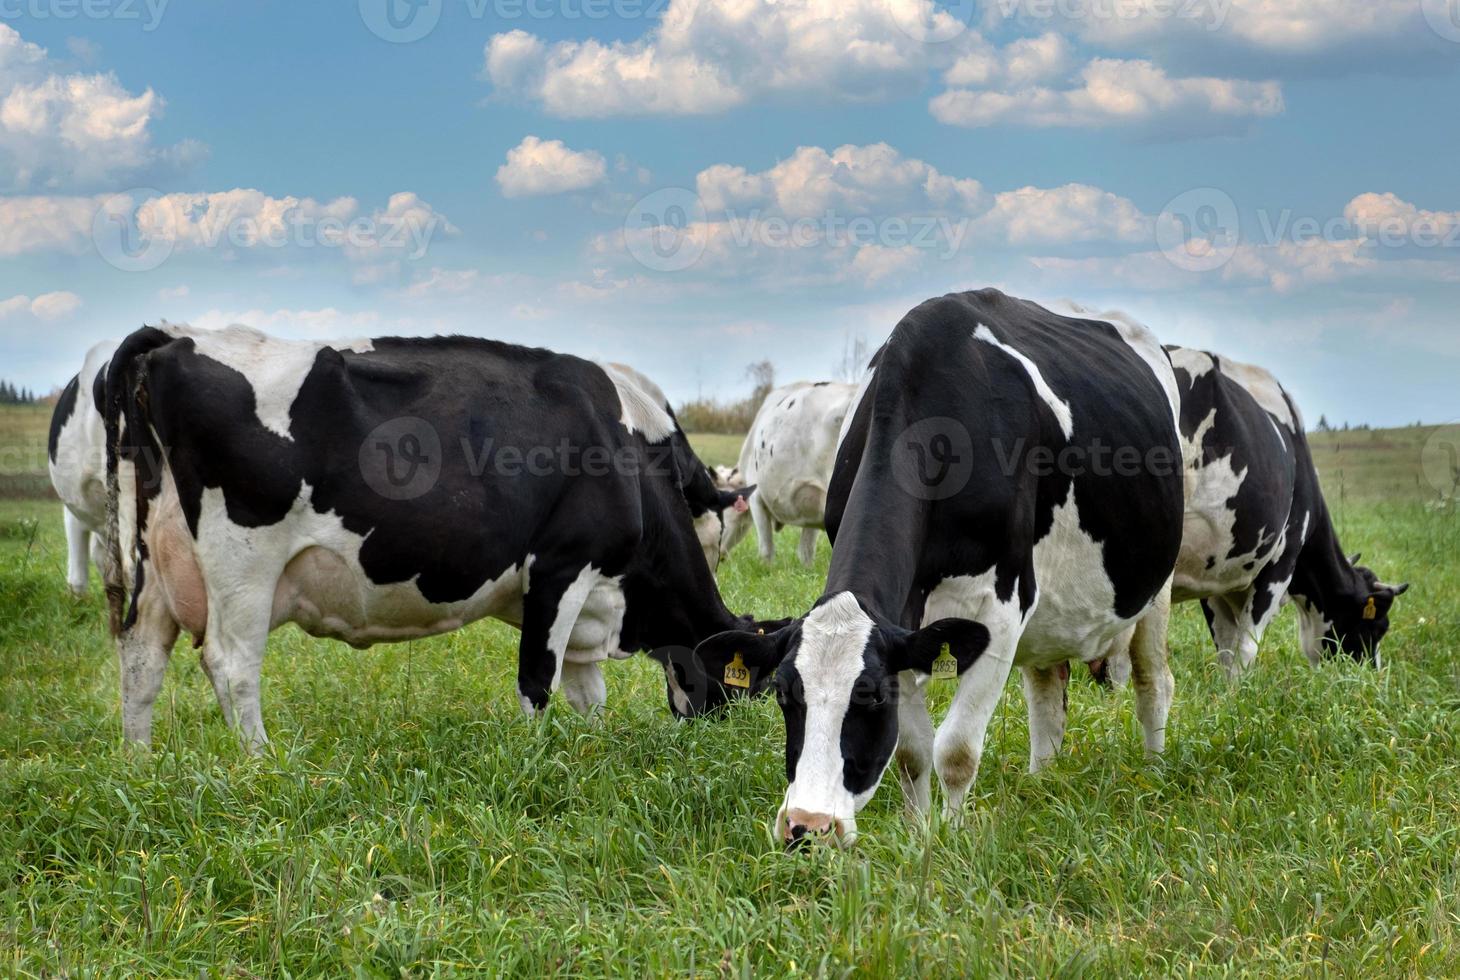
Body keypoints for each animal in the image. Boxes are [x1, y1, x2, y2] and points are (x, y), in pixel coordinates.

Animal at [102, 325, 782, 747]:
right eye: (739, 688)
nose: (711, 733)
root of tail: (172, 340)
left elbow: (587, 692)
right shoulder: (562, 568)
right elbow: (538, 679)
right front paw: (534, 757)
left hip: (155, 559)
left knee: (141, 656)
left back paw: (142, 766)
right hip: (243, 562)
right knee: (232, 663)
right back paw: (261, 762)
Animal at [715, 382, 852, 566]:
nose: (719, 556)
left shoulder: (757, 498)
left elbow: (766, 549)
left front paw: (765, 568)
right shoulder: (812, 502)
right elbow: (806, 550)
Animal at [1097, 344, 1401, 683]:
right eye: (1378, 626)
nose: (1370, 677)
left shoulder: (1217, 576)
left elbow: (1226, 645)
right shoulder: (1280, 564)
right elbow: (1245, 646)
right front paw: (1237, 691)